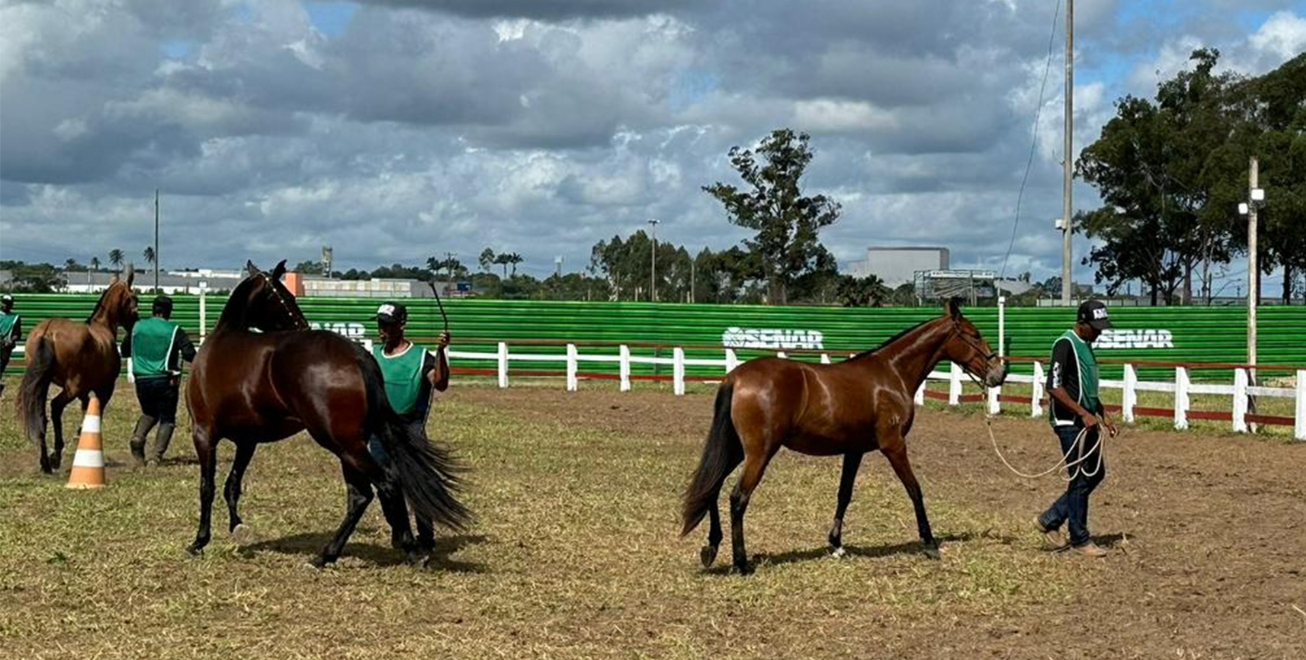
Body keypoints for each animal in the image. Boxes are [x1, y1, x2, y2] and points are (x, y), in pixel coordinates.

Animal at [20, 266, 139, 473]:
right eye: (134, 298)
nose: (137, 322)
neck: (102, 327)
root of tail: (48, 331)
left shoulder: (84, 391)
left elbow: (86, 410)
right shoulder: (104, 389)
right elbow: (96, 413)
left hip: (44, 385)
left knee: (42, 415)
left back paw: (45, 462)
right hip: (71, 388)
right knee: (56, 407)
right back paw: (55, 456)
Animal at [181, 261, 470, 567]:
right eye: (285, 296)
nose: (301, 325)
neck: (222, 340)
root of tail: (357, 355)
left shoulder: (203, 433)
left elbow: (207, 487)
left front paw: (200, 541)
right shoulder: (247, 441)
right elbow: (232, 485)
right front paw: (237, 526)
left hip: (341, 443)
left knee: (386, 483)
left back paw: (408, 548)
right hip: (349, 445)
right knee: (361, 495)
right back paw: (328, 554)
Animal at [684, 300, 1008, 575]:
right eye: (975, 335)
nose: (1000, 372)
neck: (892, 374)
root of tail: (735, 377)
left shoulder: (855, 450)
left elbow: (844, 494)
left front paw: (836, 544)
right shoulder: (893, 446)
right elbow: (914, 489)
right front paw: (929, 543)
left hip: (737, 450)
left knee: (712, 486)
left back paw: (711, 547)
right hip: (759, 452)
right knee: (738, 497)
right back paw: (740, 563)